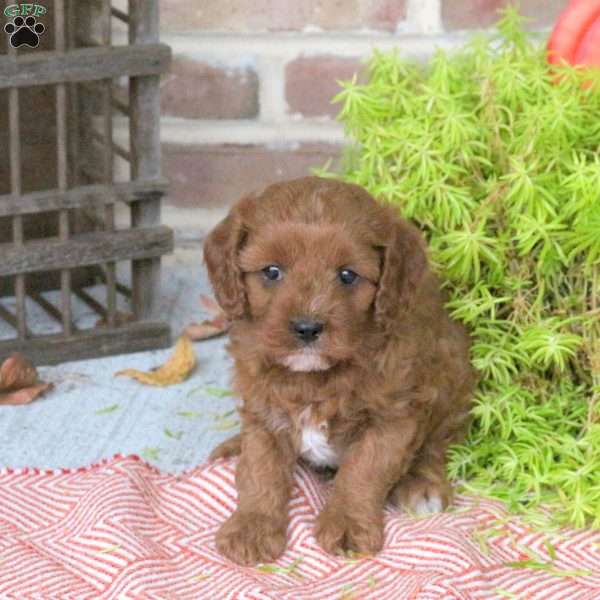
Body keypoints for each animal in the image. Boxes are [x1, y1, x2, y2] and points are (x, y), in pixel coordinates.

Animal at [204, 176, 476, 564]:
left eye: (347, 275)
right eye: (272, 272)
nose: (307, 328)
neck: (315, 377)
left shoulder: (393, 417)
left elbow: (363, 471)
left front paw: (347, 524)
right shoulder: (263, 410)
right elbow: (261, 470)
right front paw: (251, 527)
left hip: (452, 384)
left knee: (437, 445)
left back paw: (423, 485)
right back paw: (232, 446)